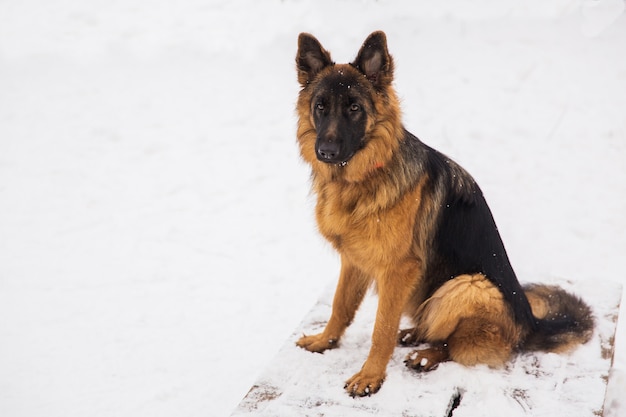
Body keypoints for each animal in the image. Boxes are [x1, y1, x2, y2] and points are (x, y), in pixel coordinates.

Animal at [292, 31, 588, 396]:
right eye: (320, 107)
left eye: (354, 108)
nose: (326, 151)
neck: (363, 177)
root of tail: (530, 323)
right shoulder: (354, 261)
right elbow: (340, 306)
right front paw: (325, 341)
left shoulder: (398, 270)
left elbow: (381, 328)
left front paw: (371, 375)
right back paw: (414, 333)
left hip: (466, 285)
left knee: (456, 344)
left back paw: (427, 354)